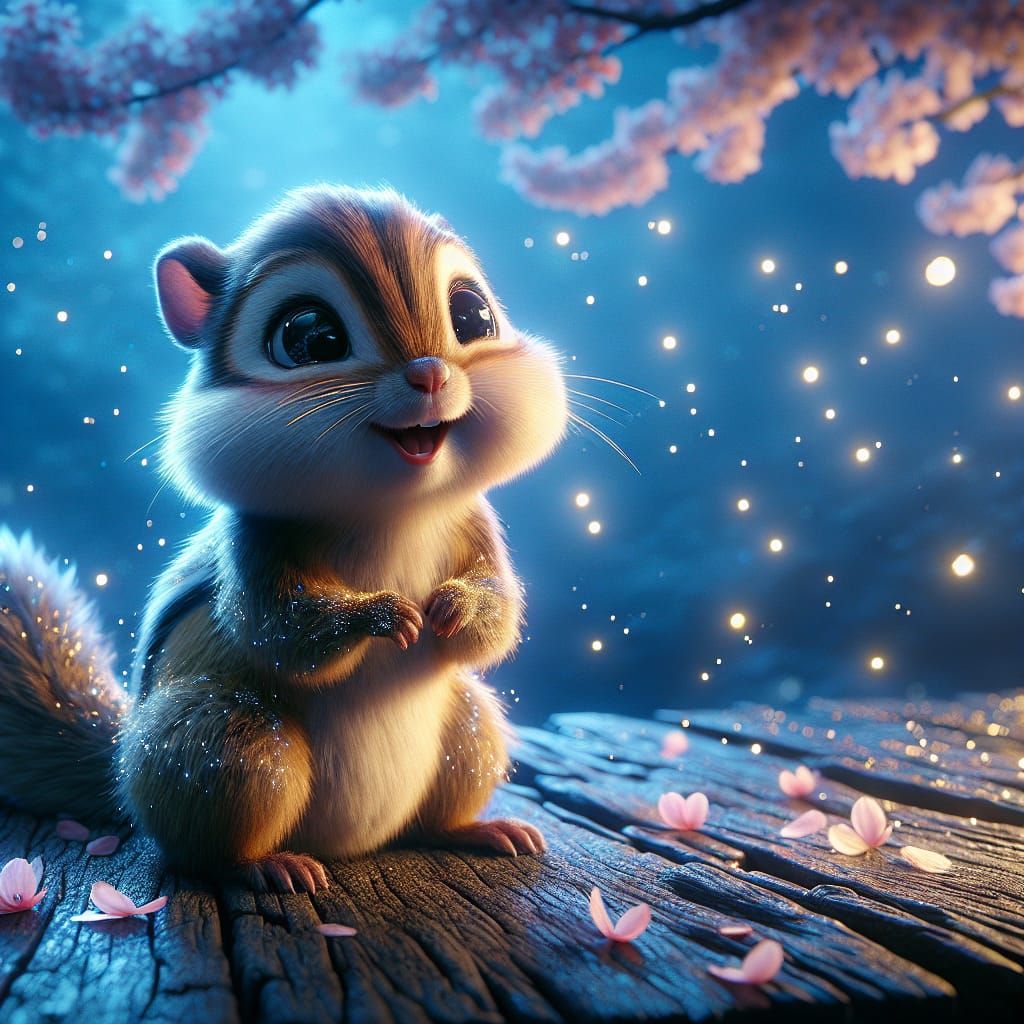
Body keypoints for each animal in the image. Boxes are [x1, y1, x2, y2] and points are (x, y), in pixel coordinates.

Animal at [0, 185, 567, 892]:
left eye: (473, 315)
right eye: (309, 337)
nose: (431, 374)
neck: (391, 508)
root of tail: (356, 847)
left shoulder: (477, 527)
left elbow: (499, 613)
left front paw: (457, 606)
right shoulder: (256, 544)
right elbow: (282, 627)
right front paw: (383, 613)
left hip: (468, 729)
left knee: (440, 803)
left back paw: (482, 830)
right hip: (227, 748)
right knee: (204, 846)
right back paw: (269, 866)